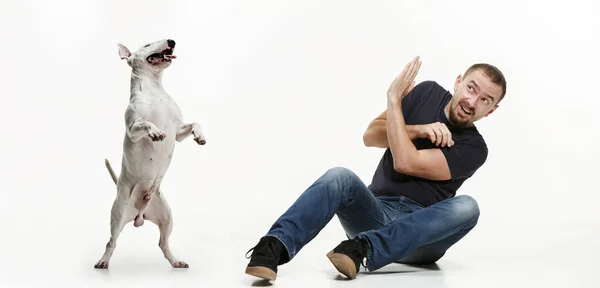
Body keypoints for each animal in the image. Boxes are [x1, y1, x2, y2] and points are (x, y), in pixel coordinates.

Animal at [94, 38, 206, 270]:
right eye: (147, 45)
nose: (172, 41)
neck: (155, 89)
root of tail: (139, 214)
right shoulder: (133, 128)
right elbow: (146, 123)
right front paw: (155, 132)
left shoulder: (178, 131)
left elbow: (194, 123)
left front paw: (200, 136)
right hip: (118, 216)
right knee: (111, 242)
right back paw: (103, 261)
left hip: (166, 216)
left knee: (163, 243)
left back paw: (176, 261)